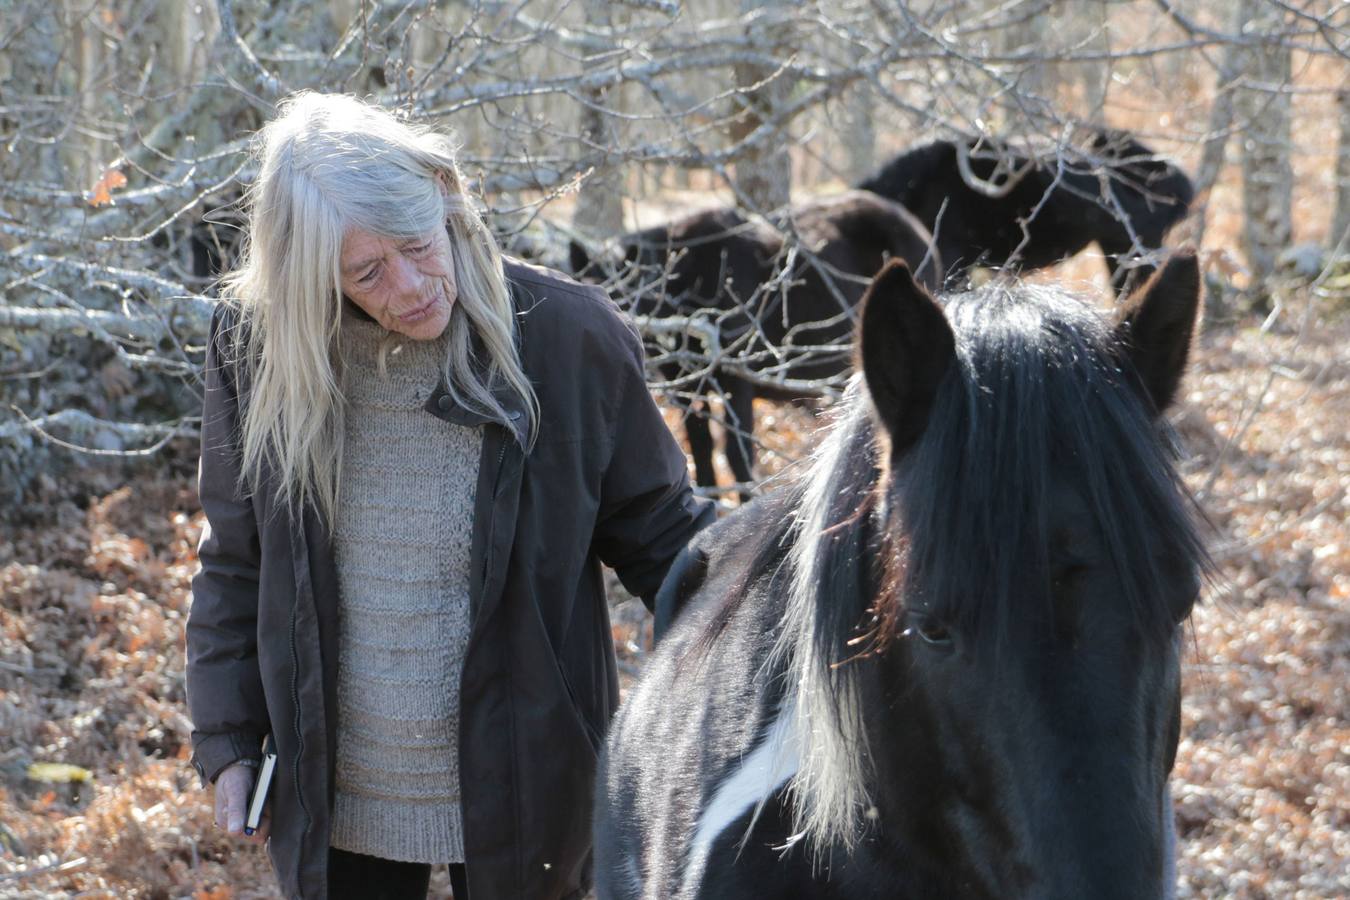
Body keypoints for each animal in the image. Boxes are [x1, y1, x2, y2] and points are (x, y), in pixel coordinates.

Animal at [570, 190, 940, 496]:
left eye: (619, 297)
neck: (689, 282)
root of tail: (919, 232)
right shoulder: (688, 388)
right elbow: (701, 449)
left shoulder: (737, 381)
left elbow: (738, 455)